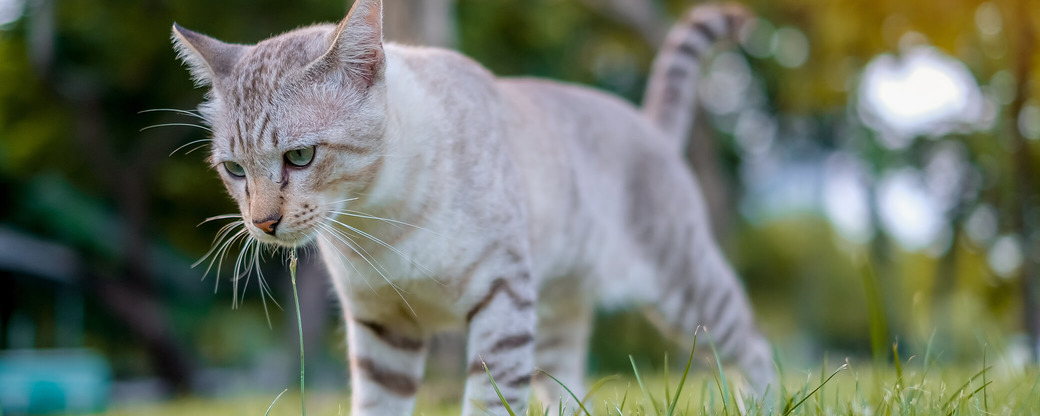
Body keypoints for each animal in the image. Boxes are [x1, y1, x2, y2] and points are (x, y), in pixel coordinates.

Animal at [172, 1, 773, 413]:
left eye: (299, 156)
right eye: (234, 170)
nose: (262, 223)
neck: (379, 224)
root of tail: (651, 126)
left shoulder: (501, 297)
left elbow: (488, 400)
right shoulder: (381, 328)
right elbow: (378, 405)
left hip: (684, 290)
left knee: (755, 347)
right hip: (557, 313)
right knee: (566, 389)